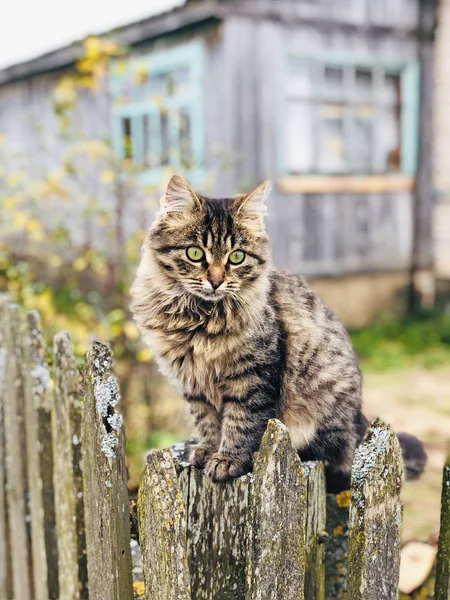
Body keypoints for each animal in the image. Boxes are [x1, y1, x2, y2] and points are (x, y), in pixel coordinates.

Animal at [130, 173, 426, 492]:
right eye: (195, 253)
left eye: (236, 257)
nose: (216, 281)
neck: (199, 318)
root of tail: (359, 422)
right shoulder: (193, 383)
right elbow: (207, 421)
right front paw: (207, 451)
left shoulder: (253, 375)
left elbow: (240, 422)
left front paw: (228, 460)